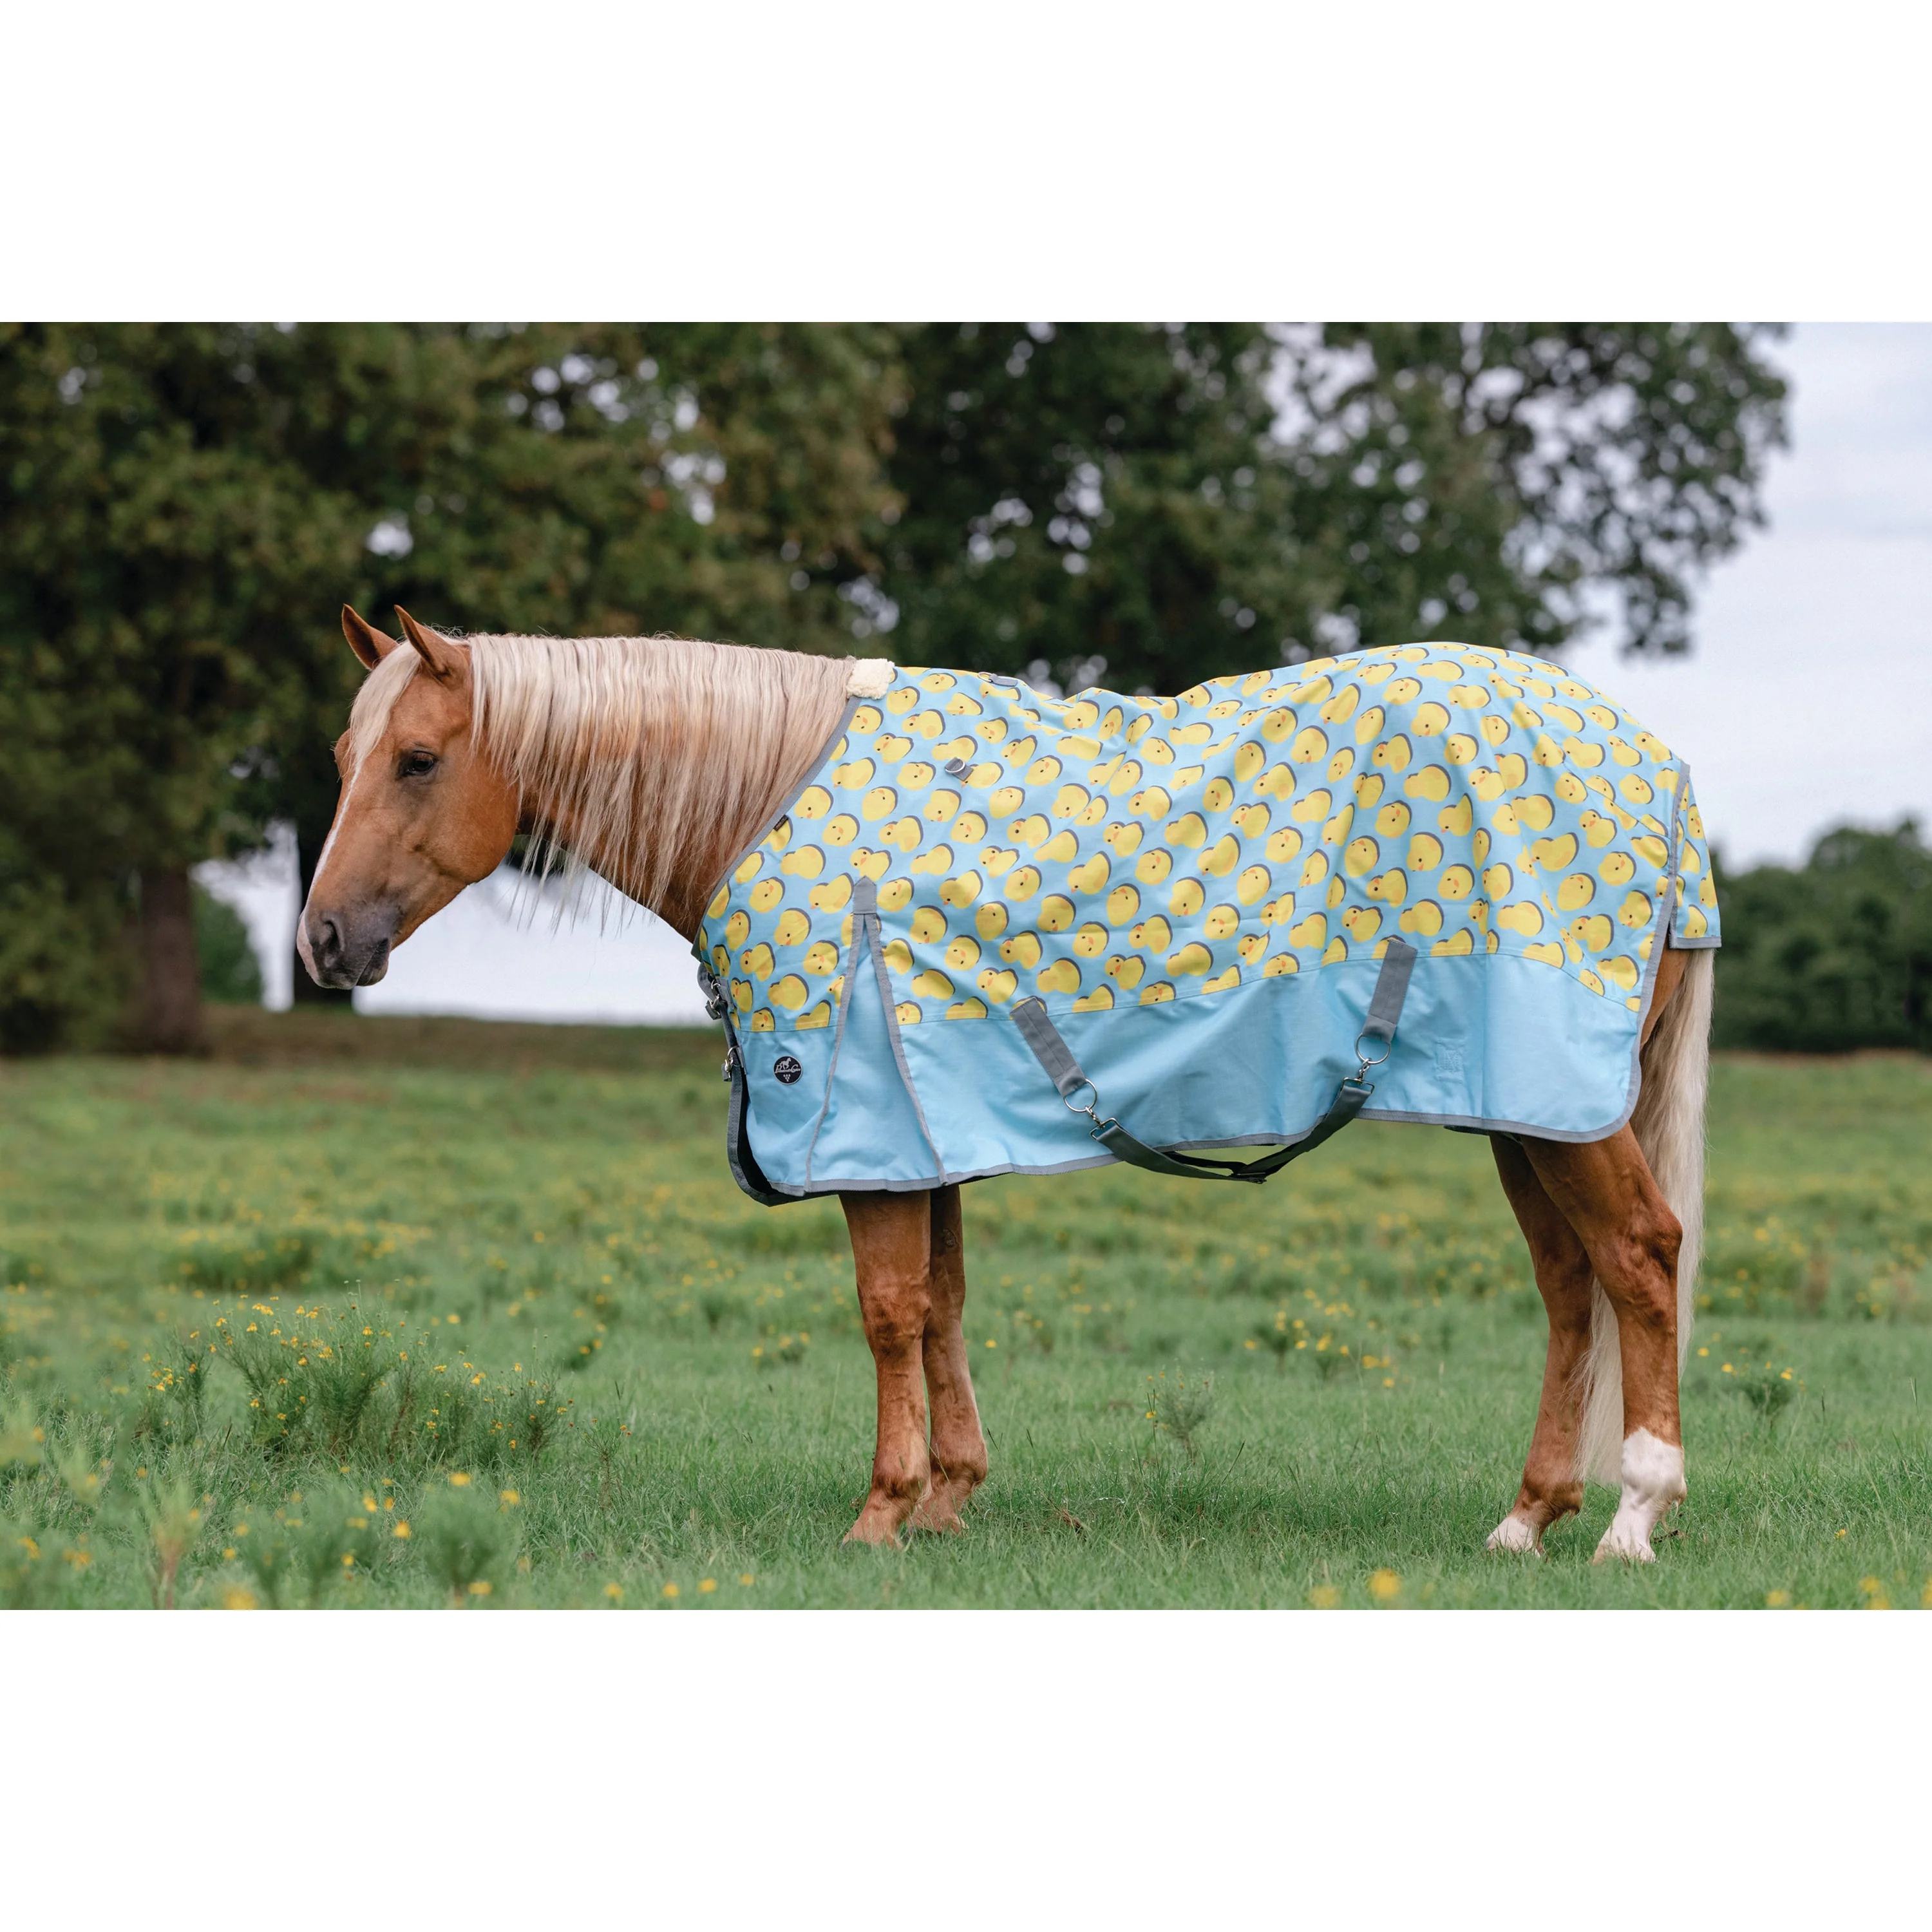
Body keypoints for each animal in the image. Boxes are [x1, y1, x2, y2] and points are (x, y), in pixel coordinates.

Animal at [302, 605, 1714, 1562]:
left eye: (417, 759)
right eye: (340, 754)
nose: (323, 943)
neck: (769, 795)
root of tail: (1660, 766)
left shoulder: (867, 1125)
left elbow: (888, 1312)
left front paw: (880, 1513)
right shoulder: (929, 1126)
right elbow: (943, 1306)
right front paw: (949, 1496)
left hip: (1562, 1112)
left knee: (1641, 1259)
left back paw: (1635, 1516)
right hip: (1525, 1111)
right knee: (1571, 1287)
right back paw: (1528, 1518)